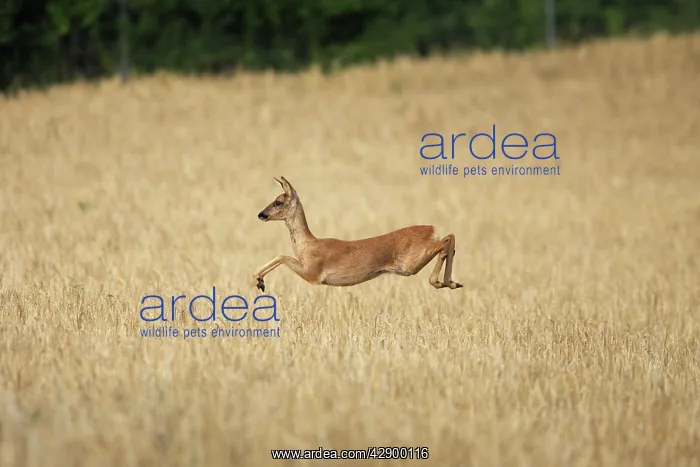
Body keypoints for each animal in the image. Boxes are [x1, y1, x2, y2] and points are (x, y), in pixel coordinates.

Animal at [252, 176, 463, 293]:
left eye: (278, 201)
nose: (261, 214)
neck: (308, 245)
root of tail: (431, 228)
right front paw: (259, 281)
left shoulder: (312, 275)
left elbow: (282, 256)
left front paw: (258, 280)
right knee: (449, 240)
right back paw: (451, 282)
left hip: (410, 264)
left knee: (448, 239)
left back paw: (442, 282)